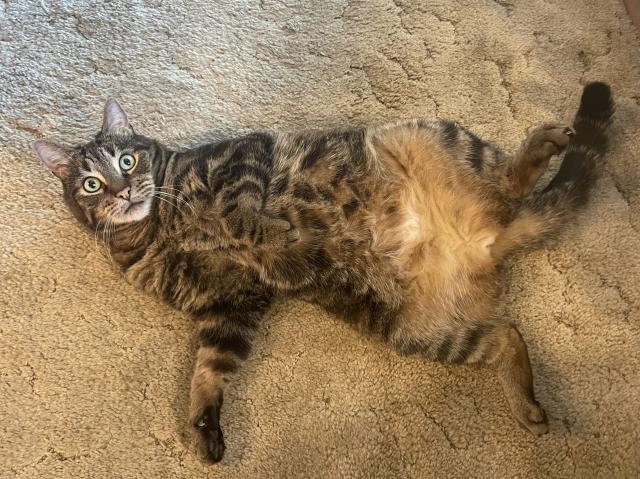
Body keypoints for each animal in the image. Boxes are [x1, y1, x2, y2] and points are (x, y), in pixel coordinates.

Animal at [35, 82, 616, 464]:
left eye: (127, 160)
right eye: (91, 183)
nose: (122, 190)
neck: (155, 229)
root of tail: (491, 237)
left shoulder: (240, 163)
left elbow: (243, 219)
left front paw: (284, 238)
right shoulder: (228, 306)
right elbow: (208, 371)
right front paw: (204, 428)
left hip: (425, 135)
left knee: (511, 179)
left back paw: (542, 145)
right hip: (416, 330)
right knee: (507, 336)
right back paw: (529, 407)